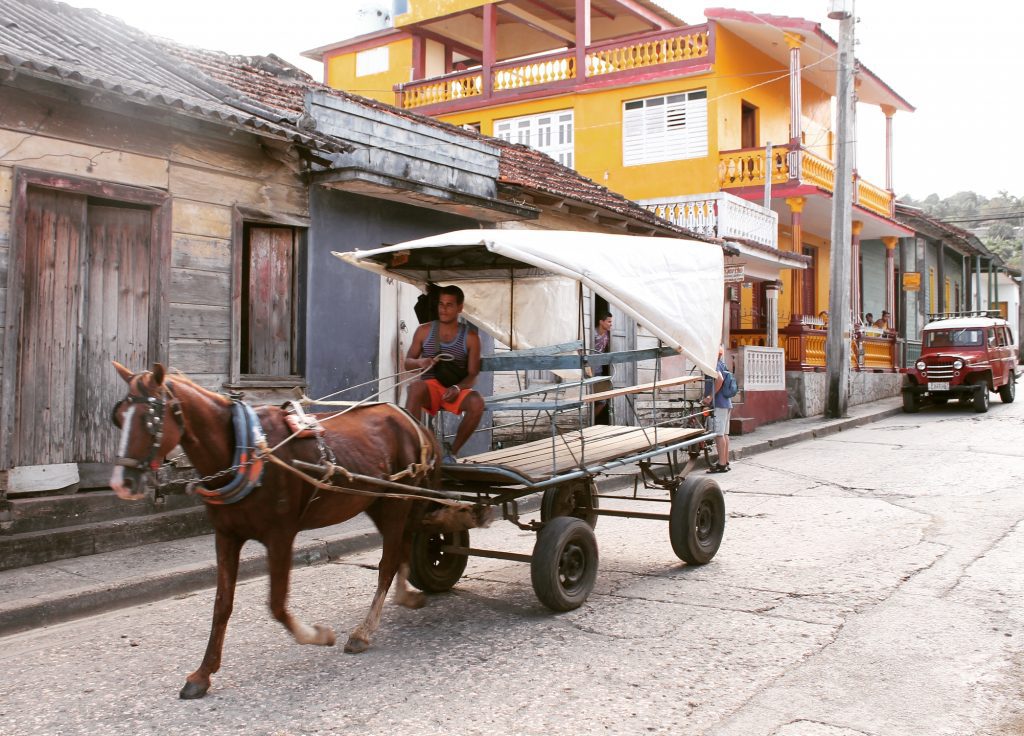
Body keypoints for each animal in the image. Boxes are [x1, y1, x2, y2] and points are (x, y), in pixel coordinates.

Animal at [110, 366, 477, 700]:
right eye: (120, 416)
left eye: (150, 419)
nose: (121, 483)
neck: (244, 448)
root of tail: (411, 421)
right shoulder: (226, 535)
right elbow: (222, 605)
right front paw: (202, 674)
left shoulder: (280, 536)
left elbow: (276, 604)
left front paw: (319, 635)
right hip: (381, 501)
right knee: (404, 545)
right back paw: (405, 595)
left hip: (397, 501)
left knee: (387, 563)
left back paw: (364, 631)